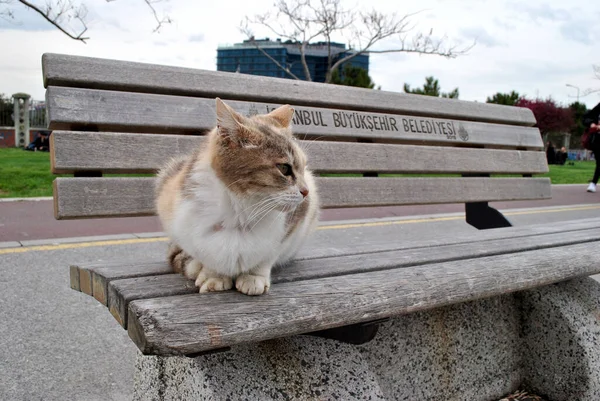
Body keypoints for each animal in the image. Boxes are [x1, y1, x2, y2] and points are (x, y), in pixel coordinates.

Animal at [157, 98, 322, 296]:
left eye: (303, 167)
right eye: (284, 168)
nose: (306, 192)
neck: (238, 214)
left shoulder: (291, 226)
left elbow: (267, 255)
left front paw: (253, 277)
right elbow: (207, 257)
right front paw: (214, 277)